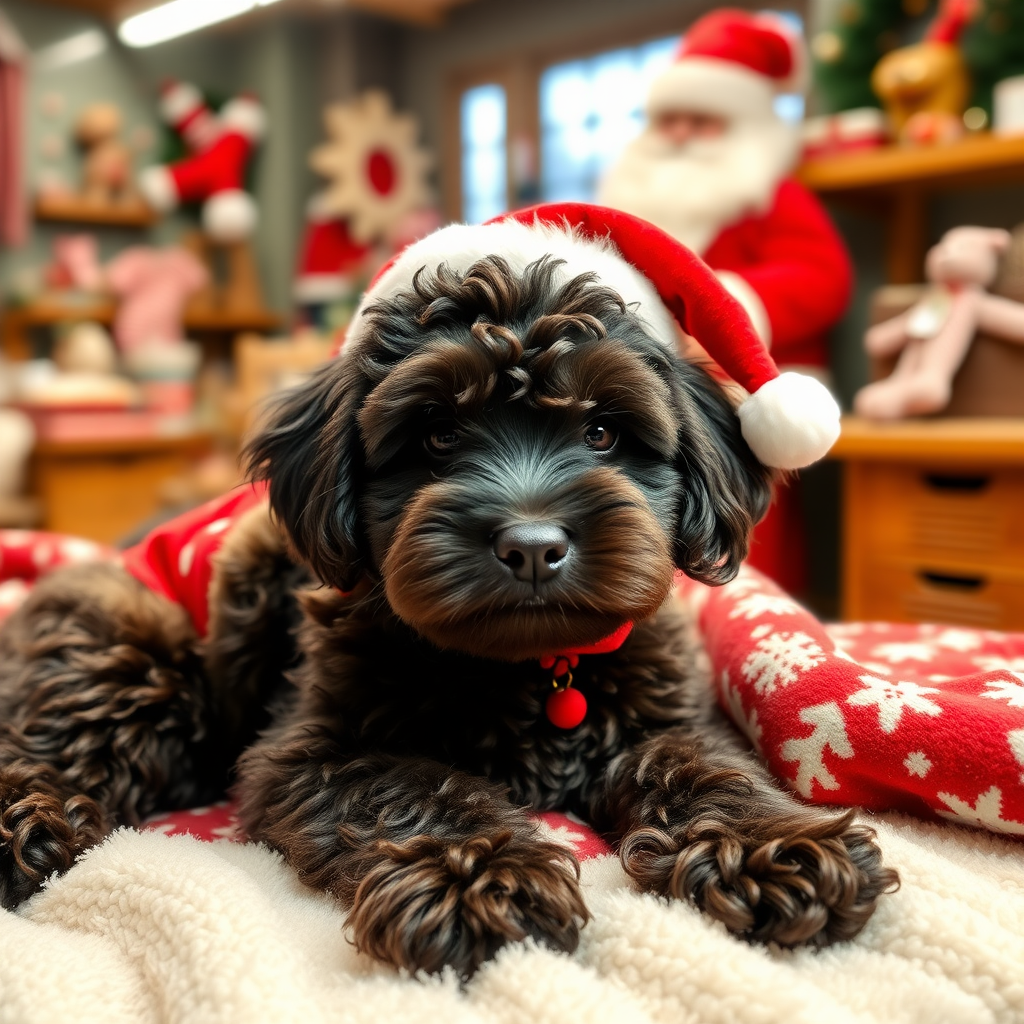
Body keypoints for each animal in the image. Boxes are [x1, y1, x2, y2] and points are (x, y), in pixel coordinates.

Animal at [0, 253, 897, 974]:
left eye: (604, 433)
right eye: (435, 436)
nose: (532, 546)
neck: (527, 671)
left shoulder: (667, 717)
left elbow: (709, 770)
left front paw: (776, 849)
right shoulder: (312, 752)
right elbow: (416, 788)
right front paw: (481, 878)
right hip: (130, 660)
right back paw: (29, 828)